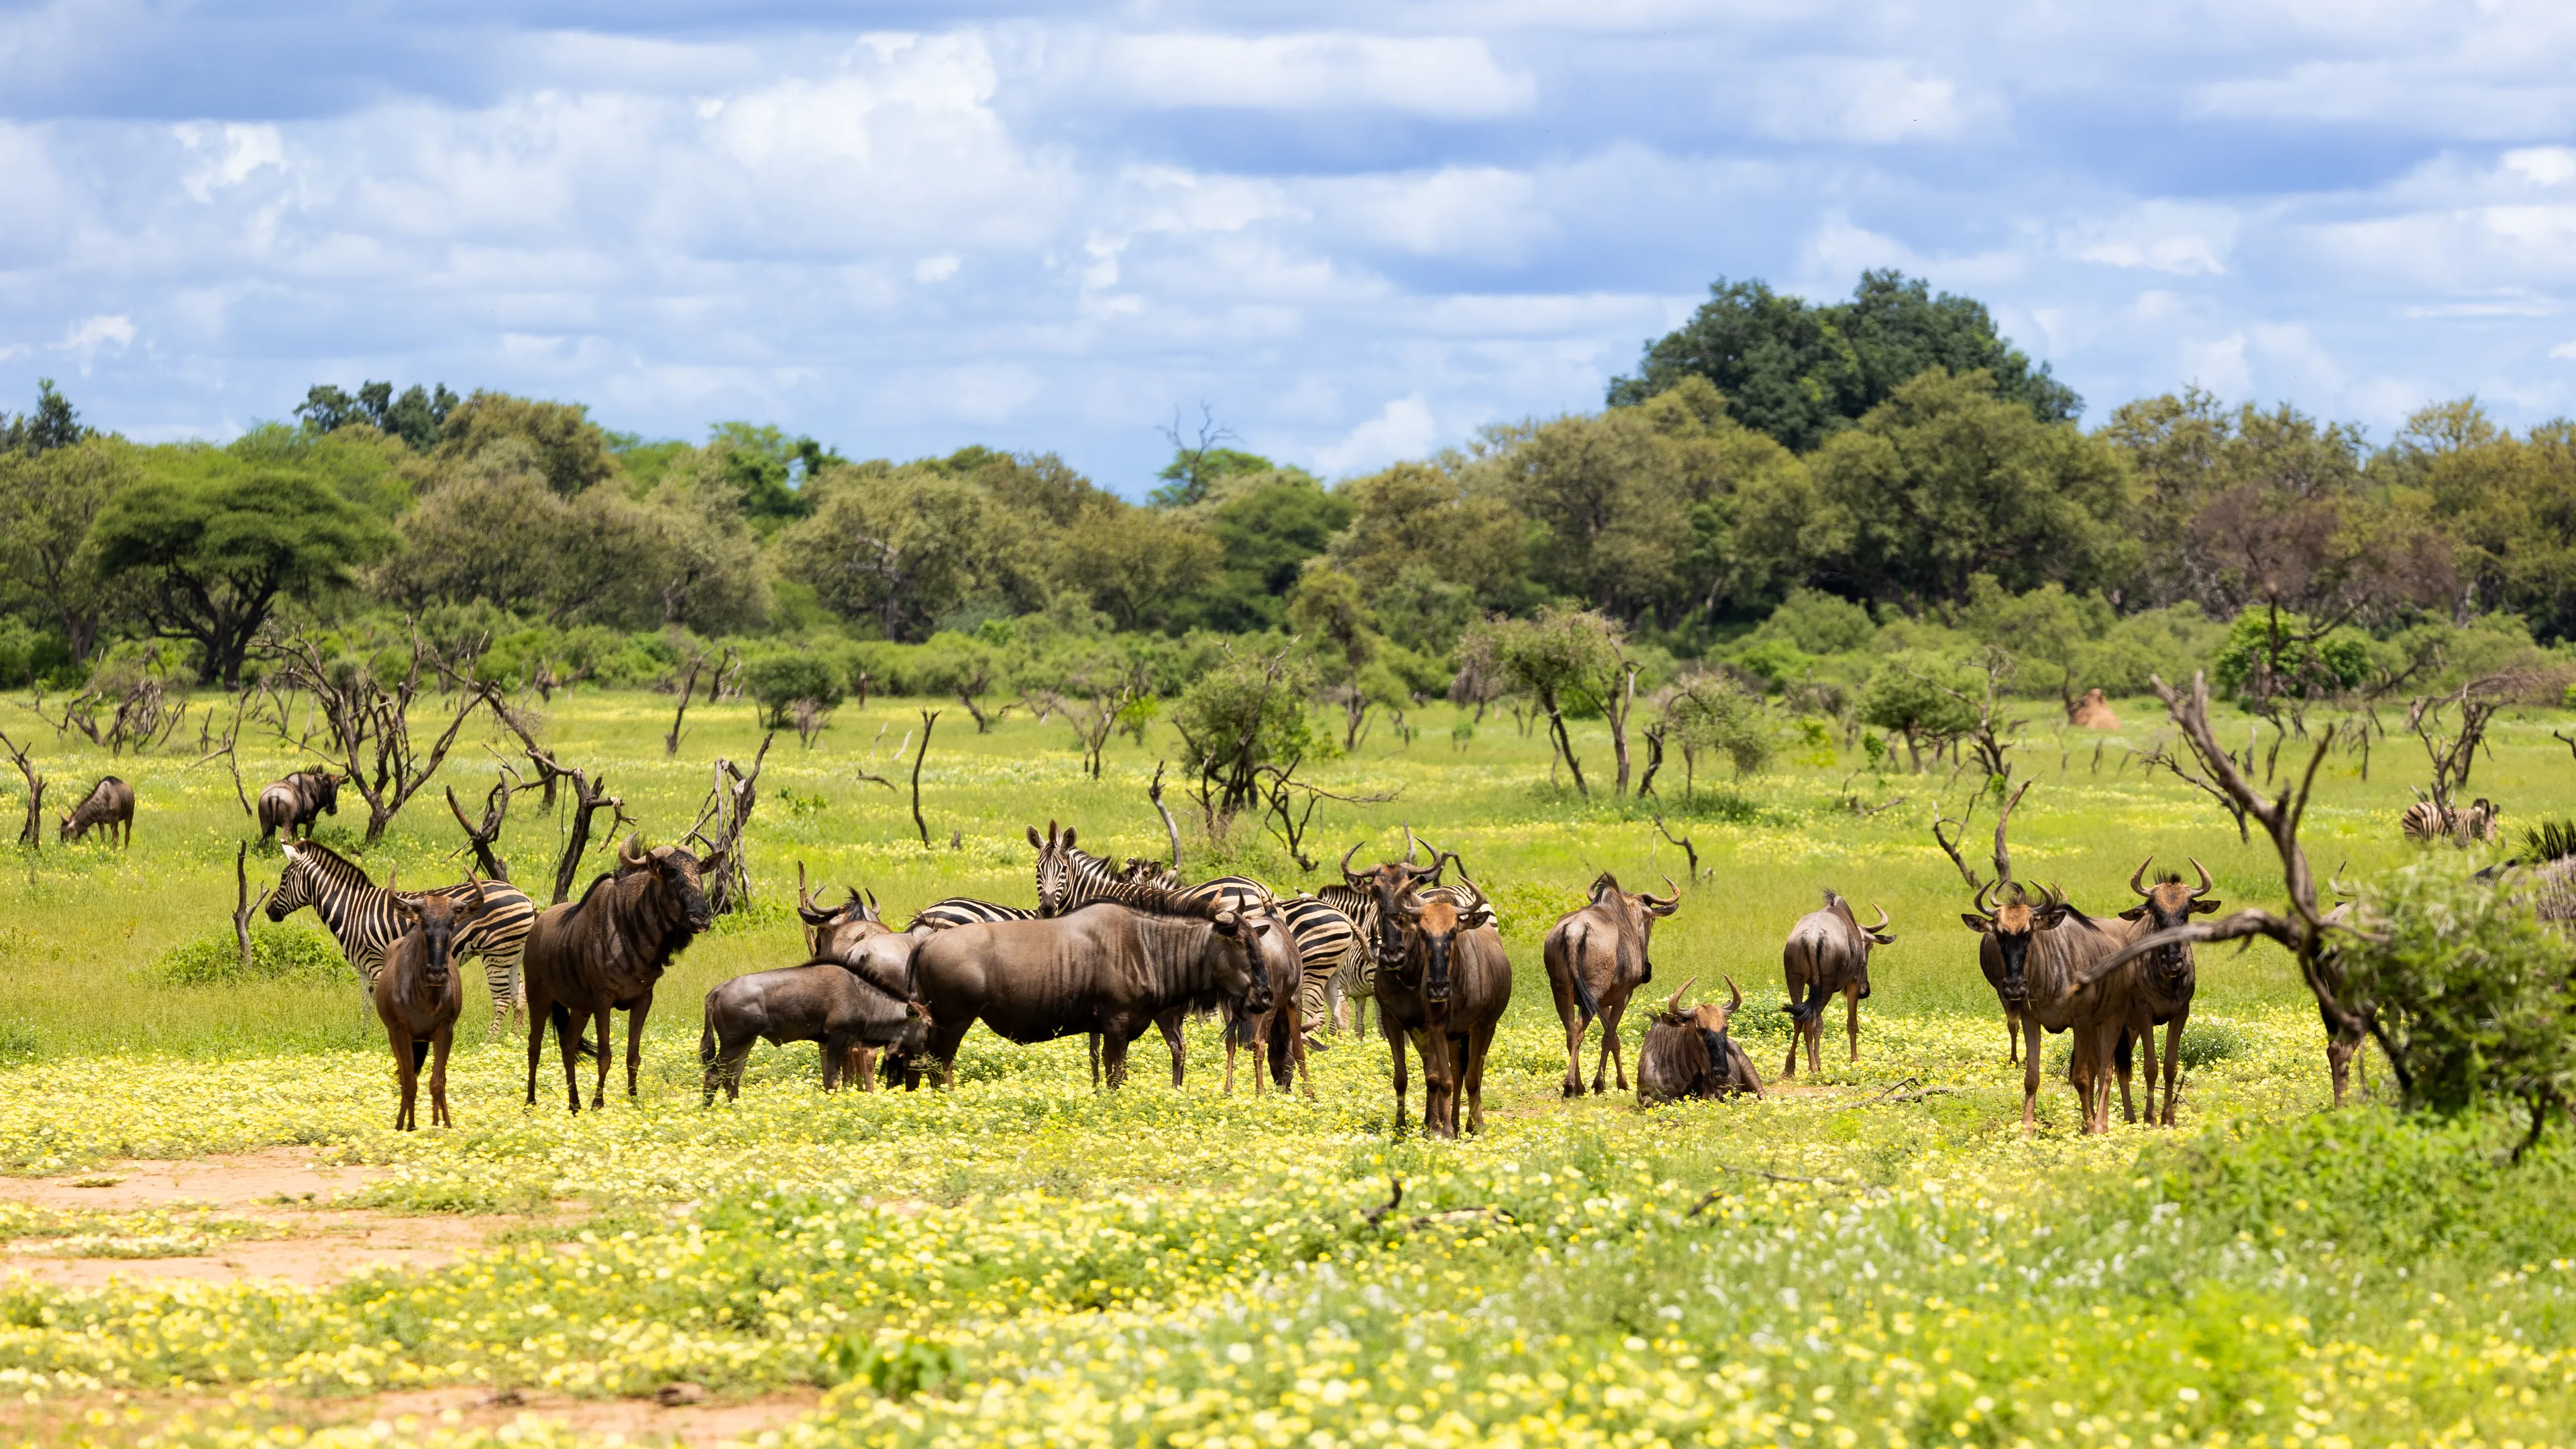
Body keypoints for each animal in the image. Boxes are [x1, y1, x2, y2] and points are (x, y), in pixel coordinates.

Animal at [269, 835, 535, 1026]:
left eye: (283, 877)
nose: (269, 911)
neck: (351, 909)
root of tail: (525, 898)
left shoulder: (376, 963)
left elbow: (380, 1002)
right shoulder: (362, 969)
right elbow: (366, 1005)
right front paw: (365, 1037)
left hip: (496, 954)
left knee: (502, 1000)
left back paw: (490, 1043)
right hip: (512, 955)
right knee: (520, 998)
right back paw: (513, 1042)